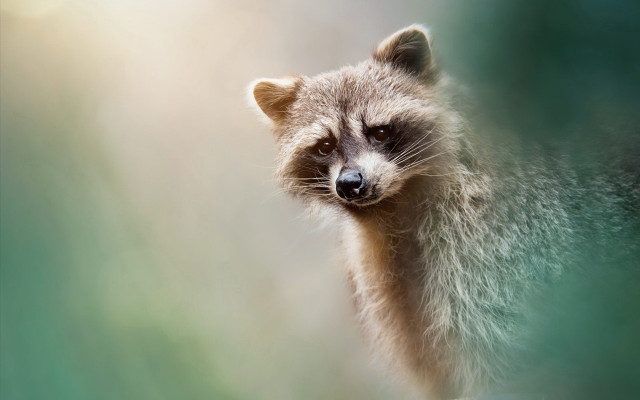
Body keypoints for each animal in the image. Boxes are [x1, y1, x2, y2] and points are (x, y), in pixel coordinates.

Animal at [248, 25, 638, 399]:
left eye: (380, 131)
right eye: (325, 145)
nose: (350, 183)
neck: (394, 211)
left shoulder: (497, 253)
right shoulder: (399, 300)